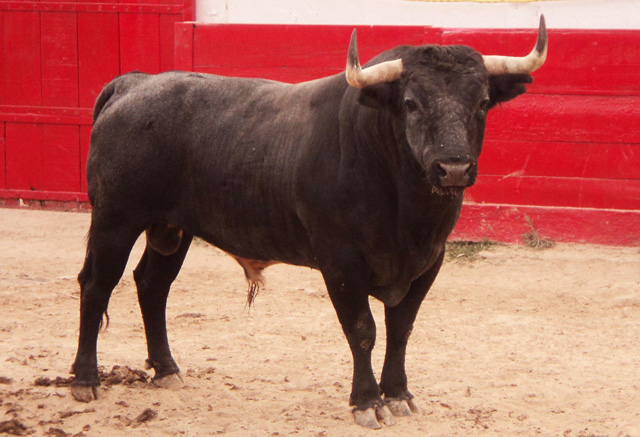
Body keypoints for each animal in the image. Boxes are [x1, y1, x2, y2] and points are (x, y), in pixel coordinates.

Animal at [71, 18, 552, 428]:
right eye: (411, 103)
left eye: (483, 103)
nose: (453, 168)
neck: (406, 207)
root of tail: (135, 83)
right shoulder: (340, 261)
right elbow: (362, 330)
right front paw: (367, 402)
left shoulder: (429, 261)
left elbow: (401, 329)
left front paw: (399, 394)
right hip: (115, 219)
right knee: (96, 284)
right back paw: (85, 379)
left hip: (172, 228)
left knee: (153, 285)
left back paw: (167, 369)